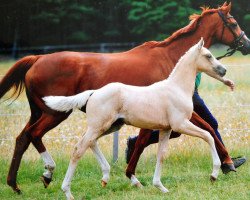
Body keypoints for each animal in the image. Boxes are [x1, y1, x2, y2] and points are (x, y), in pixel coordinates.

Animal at [43, 38, 229, 198]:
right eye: (208, 55)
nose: (224, 70)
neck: (177, 88)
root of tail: (94, 92)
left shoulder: (166, 129)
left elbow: (161, 155)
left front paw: (160, 187)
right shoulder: (180, 124)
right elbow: (208, 135)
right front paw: (214, 174)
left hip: (110, 126)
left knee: (90, 142)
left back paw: (105, 177)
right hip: (99, 126)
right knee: (78, 149)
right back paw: (67, 191)